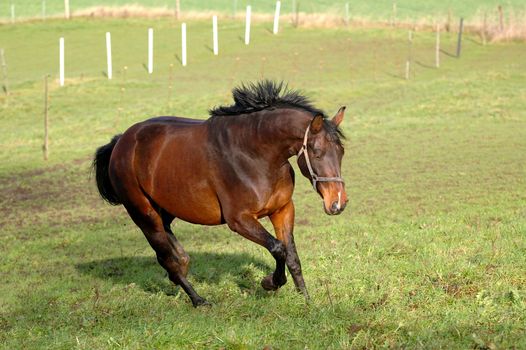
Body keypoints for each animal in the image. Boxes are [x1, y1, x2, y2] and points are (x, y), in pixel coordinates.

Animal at [94, 80, 350, 304]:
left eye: (341, 152)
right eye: (317, 152)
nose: (338, 203)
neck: (256, 155)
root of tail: (120, 142)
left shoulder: (282, 210)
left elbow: (291, 255)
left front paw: (306, 300)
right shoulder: (239, 219)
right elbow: (278, 248)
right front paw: (270, 282)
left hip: (166, 207)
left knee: (172, 250)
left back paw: (183, 266)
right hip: (144, 213)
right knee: (166, 257)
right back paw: (198, 299)